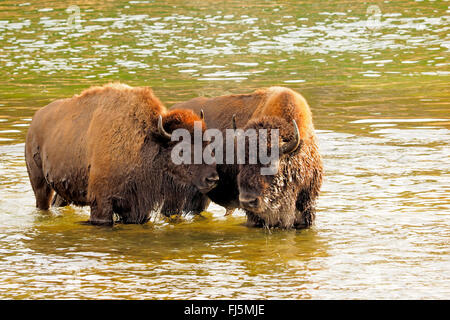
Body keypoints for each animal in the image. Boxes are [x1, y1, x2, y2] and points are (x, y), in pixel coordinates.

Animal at [25, 82, 219, 225]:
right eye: (182, 149)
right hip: (40, 184)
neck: (148, 139)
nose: (212, 179)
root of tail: (34, 122)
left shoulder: (137, 206)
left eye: (207, 143)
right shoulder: (101, 203)